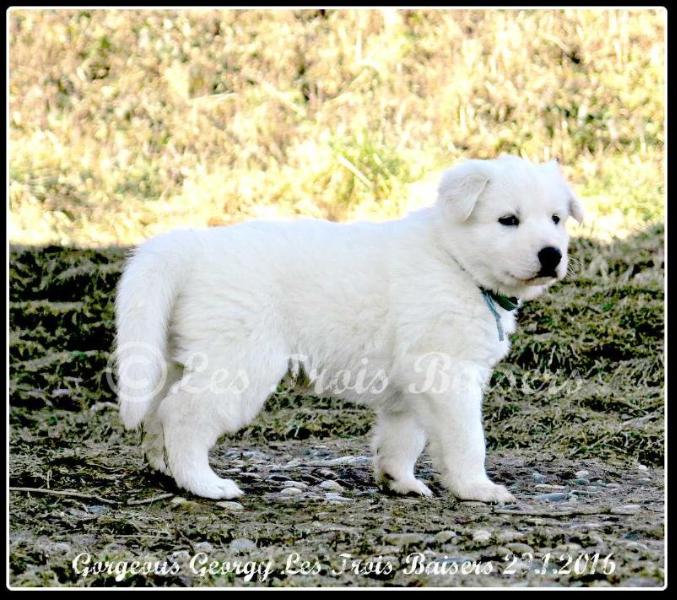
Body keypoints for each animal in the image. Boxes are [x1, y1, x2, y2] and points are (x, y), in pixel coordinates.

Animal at [116, 155, 580, 502]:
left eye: (556, 219)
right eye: (508, 220)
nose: (551, 254)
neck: (456, 262)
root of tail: (192, 245)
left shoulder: (413, 383)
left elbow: (402, 437)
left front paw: (400, 481)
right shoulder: (447, 371)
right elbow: (468, 438)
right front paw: (478, 488)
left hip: (178, 354)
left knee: (157, 409)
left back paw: (164, 469)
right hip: (240, 361)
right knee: (184, 414)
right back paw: (205, 484)